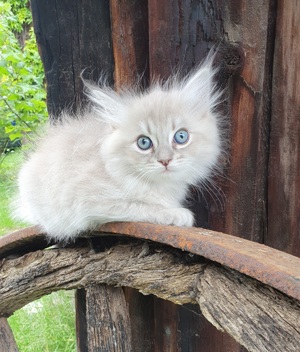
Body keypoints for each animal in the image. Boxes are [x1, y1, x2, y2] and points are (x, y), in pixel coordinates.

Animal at [16, 60, 223, 242]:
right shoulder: (89, 202)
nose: (165, 160)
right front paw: (175, 213)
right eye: (144, 142)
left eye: (181, 137)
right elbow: (140, 206)